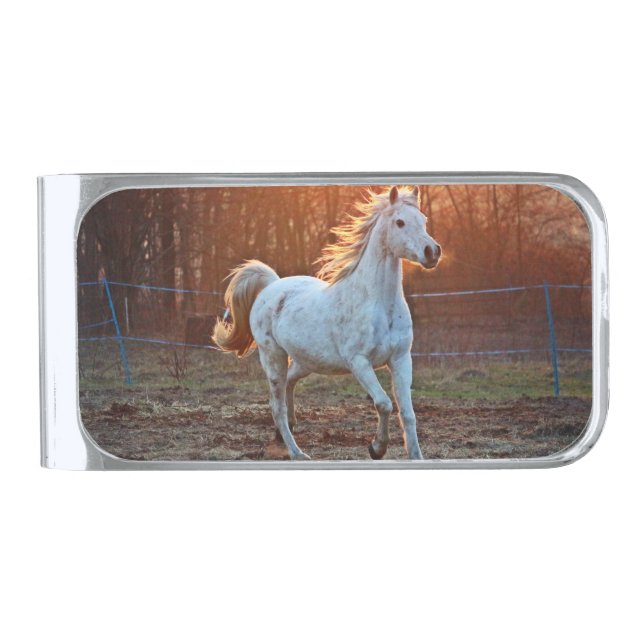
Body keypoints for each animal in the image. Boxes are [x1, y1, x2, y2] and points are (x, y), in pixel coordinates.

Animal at [213, 186, 442, 460]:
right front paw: (376, 448)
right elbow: (384, 403)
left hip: (306, 361)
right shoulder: (359, 362)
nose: (432, 252)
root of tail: (271, 286)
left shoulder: (400, 359)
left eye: (424, 220)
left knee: (289, 384)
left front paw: (416, 456)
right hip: (273, 357)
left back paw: (287, 430)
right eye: (400, 222)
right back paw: (297, 452)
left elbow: (408, 413)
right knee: (276, 406)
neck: (377, 303)